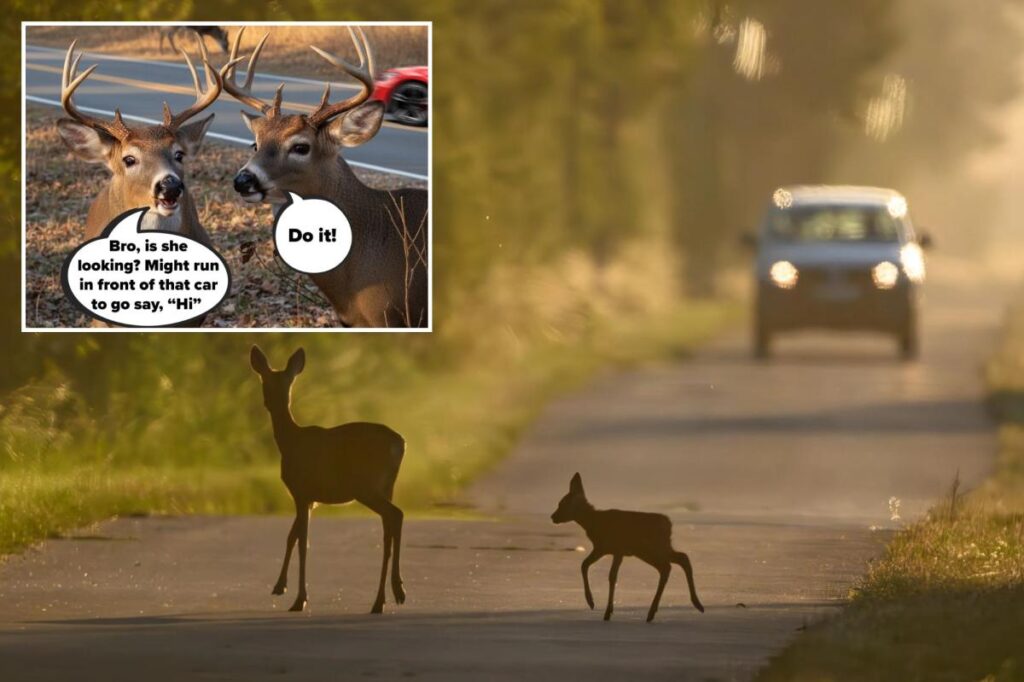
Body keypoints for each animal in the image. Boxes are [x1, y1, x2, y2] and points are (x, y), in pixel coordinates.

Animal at [249, 345, 406, 614]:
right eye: (268, 382)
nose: (269, 403)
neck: (290, 441)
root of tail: (399, 444)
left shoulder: (301, 491)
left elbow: (303, 543)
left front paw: (300, 599)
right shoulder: (310, 498)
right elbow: (292, 537)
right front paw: (280, 586)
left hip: (366, 486)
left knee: (396, 515)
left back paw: (391, 595)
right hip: (387, 486)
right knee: (389, 527)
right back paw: (385, 598)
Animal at [551, 473, 705, 622]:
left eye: (562, 504)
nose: (553, 517)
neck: (595, 522)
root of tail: (669, 525)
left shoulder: (615, 548)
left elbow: (608, 574)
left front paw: (597, 606)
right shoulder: (605, 549)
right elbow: (588, 566)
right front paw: (598, 606)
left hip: (650, 548)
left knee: (668, 566)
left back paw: (653, 613)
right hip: (656, 548)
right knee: (681, 558)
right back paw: (695, 605)